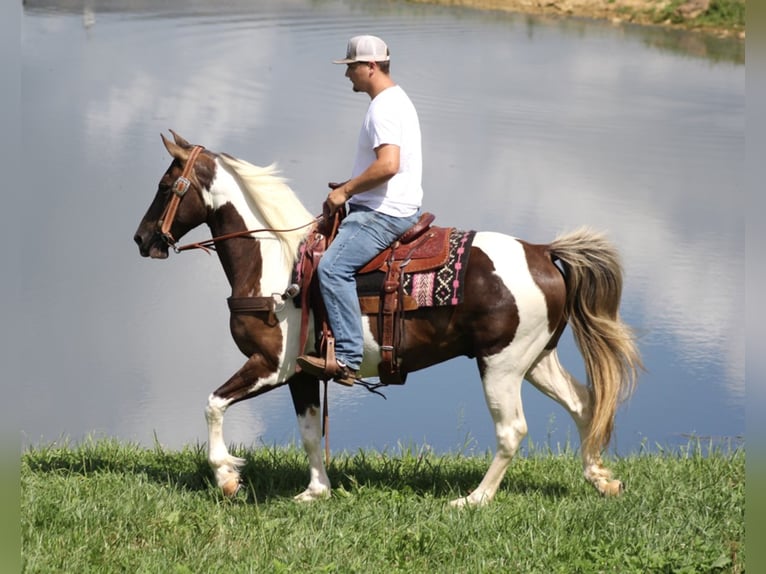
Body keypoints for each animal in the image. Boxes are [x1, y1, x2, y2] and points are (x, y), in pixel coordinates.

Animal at [134, 132, 640, 508]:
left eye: (164, 186)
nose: (141, 239)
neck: (275, 264)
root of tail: (541, 252)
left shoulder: (269, 365)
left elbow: (213, 404)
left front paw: (226, 477)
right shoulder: (301, 373)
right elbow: (309, 434)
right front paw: (315, 491)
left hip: (501, 365)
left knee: (512, 429)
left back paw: (473, 500)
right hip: (536, 359)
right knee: (583, 403)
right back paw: (600, 478)